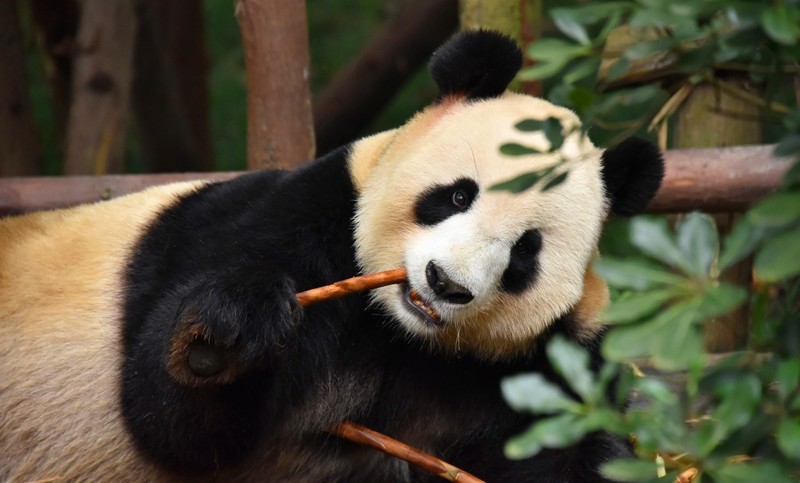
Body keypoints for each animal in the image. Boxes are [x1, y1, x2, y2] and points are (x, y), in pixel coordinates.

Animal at [0, 30, 663, 482]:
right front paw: (228, 334)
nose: (445, 283)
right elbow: (169, 424)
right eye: (457, 195)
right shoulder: (290, 223)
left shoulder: (540, 361)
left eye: (525, 251)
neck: (400, 333)